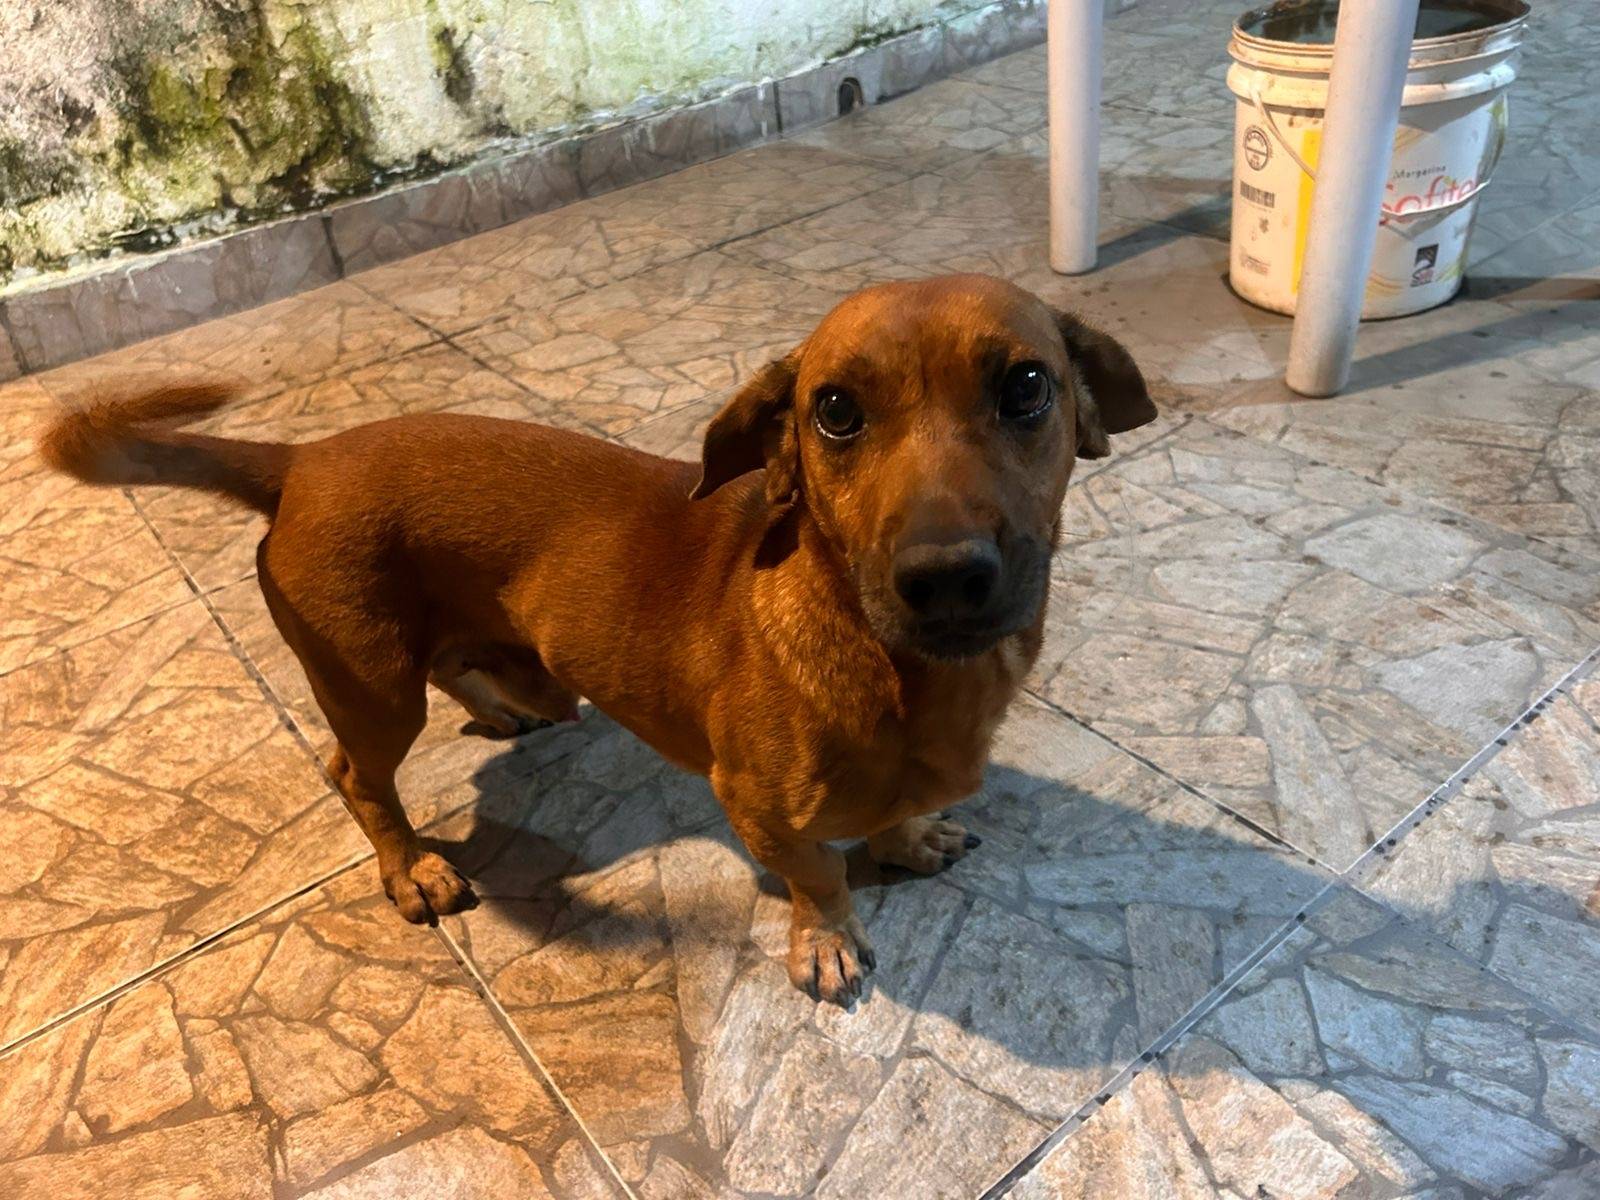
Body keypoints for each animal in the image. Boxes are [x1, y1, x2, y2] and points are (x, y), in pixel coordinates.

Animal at [41, 274, 1155, 1005]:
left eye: (1027, 386)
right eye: (834, 410)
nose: (945, 578)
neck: (892, 664)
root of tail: (301, 460)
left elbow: (887, 825)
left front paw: (909, 837)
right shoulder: (757, 811)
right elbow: (822, 878)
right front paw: (828, 939)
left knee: (447, 675)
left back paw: (505, 706)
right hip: (373, 688)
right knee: (355, 775)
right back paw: (410, 867)